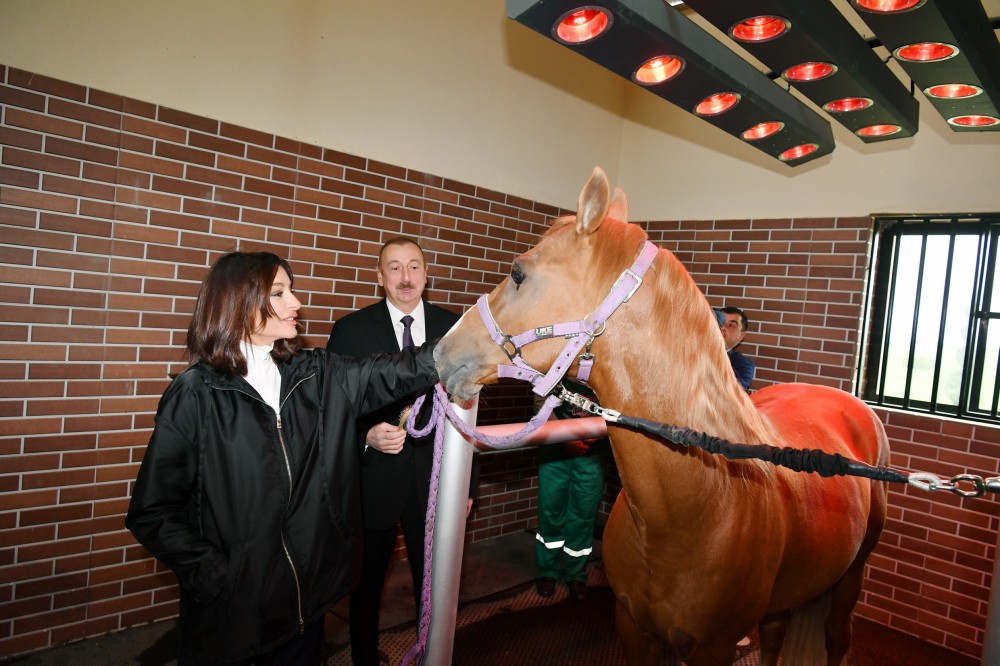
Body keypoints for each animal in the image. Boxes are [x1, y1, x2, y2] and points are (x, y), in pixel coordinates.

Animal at [434, 167, 888, 664]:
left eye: (518, 272)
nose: (440, 351)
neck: (695, 505)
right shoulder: (634, 626)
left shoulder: (713, 647)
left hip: (850, 580)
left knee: (838, 635)